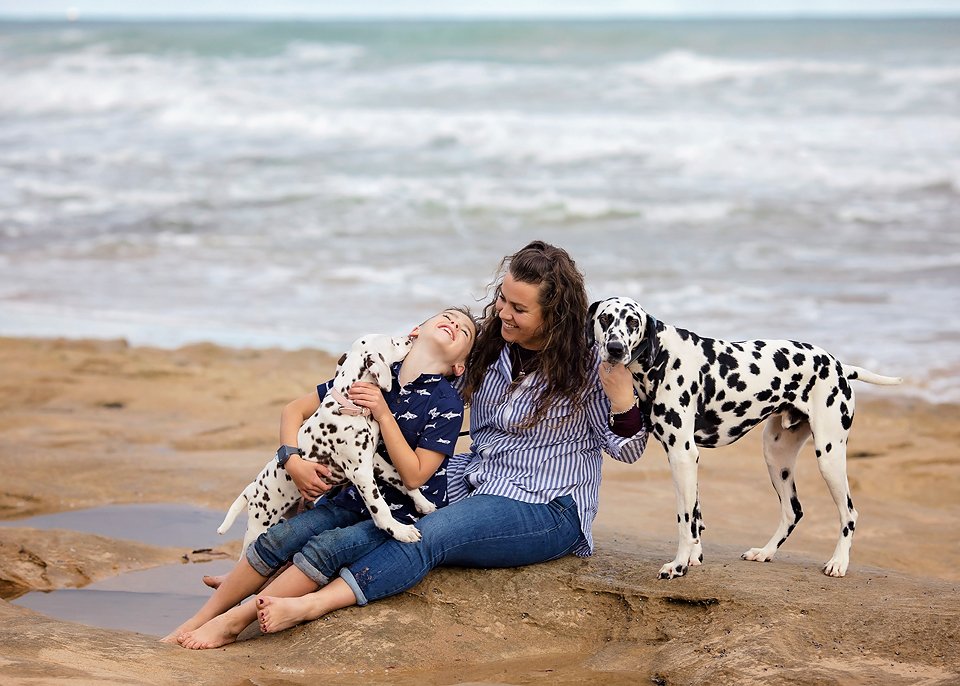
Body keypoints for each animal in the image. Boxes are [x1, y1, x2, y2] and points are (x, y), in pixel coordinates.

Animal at [217, 334, 436, 560]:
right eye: (392, 341)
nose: (411, 337)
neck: (349, 404)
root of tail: (252, 488)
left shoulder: (374, 460)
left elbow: (400, 478)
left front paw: (422, 502)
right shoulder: (360, 471)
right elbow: (380, 506)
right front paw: (399, 531)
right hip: (259, 525)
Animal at [588, 298, 904, 584]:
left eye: (632, 322)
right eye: (605, 318)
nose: (615, 349)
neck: (661, 357)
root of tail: (839, 366)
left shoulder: (682, 454)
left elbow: (685, 521)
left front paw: (678, 566)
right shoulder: (686, 458)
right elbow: (696, 517)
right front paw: (693, 557)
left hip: (829, 457)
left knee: (849, 513)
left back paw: (838, 562)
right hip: (776, 457)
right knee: (793, 511)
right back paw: (765, 552)